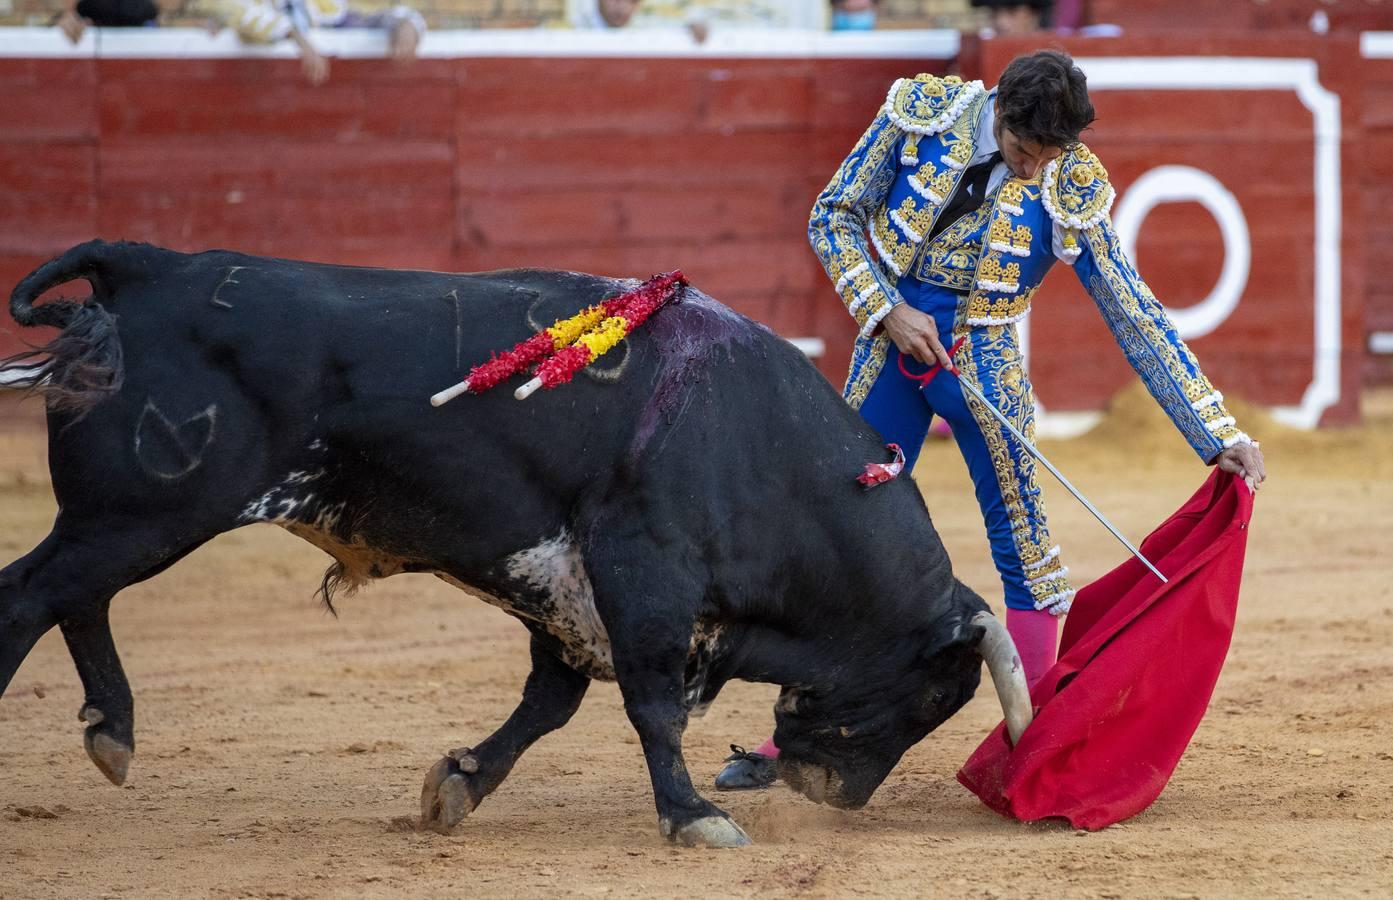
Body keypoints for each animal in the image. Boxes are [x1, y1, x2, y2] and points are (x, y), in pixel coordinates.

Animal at [0, 239, 1025, 847]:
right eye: (931, 695)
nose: (833, 793)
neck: (759, 446)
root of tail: (152, 265)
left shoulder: (566, 598)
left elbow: (549, 705)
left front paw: (459, 784)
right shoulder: (641, 574)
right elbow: (651, 706)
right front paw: (693, 817)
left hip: (123, 518)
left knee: (72, 596)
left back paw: (112, 732)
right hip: (145, 510)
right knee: (33, 595)